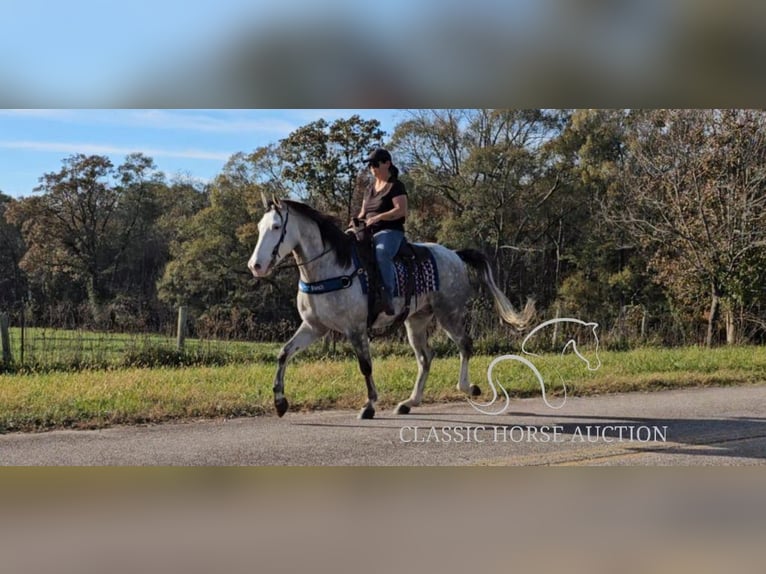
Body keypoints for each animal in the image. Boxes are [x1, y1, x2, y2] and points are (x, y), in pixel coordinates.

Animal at [249, 197, 536, 418]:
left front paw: (369, 405)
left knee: (465, 344)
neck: (330, 267)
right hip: (416, 321)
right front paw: (280, 403)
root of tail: (454, 254)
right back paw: (410, 402)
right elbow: (284, 353)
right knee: (426, 357)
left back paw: (467, 387)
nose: (256, 266)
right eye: (260, 227)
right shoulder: (314, 327)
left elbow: (365, 365)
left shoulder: (355, 328)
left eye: (276, 226)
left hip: (449, 313)